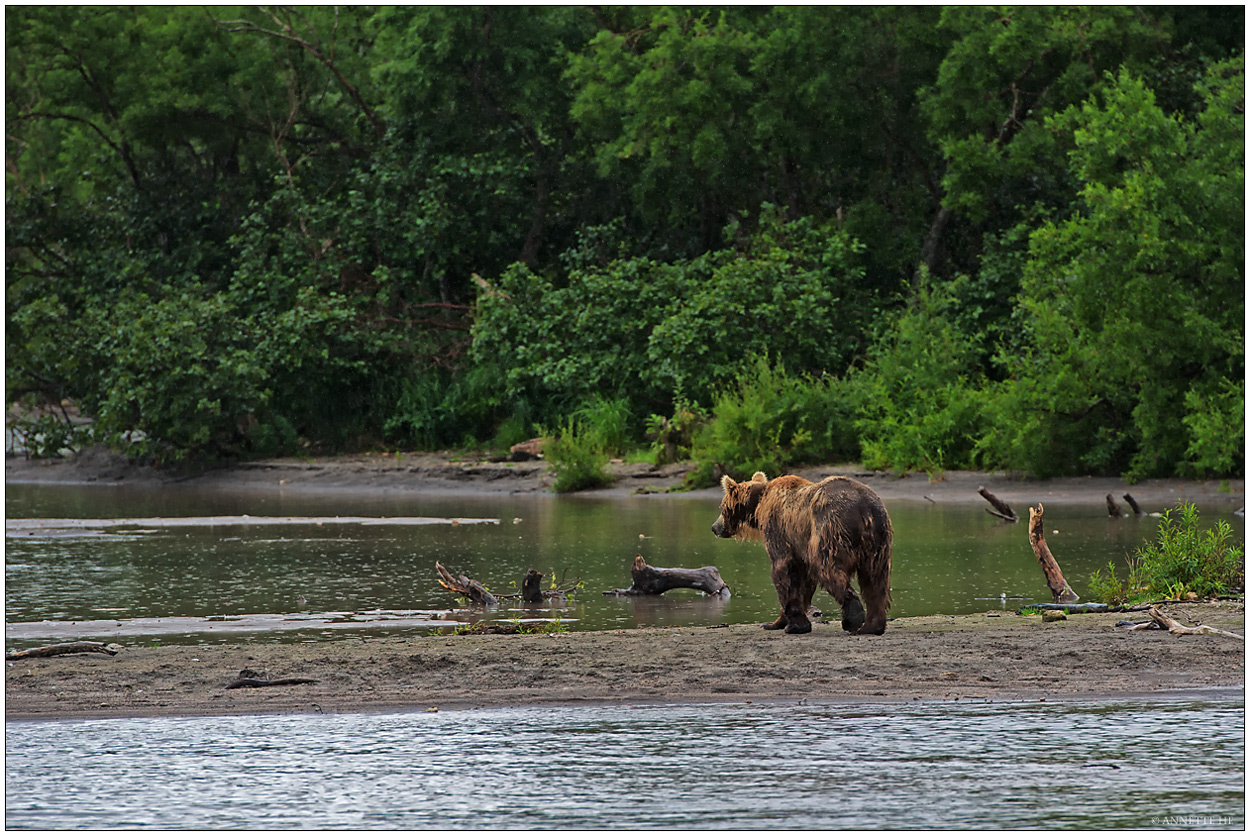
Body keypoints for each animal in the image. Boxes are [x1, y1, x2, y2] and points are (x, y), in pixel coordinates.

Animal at [715, 469, 890, 632]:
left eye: (722, 507)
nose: (714, 527)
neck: (758, 507)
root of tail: (864, 507)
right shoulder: (799, 547)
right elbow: (802, 581)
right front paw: (777, 622)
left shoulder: (778, 528)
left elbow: (783, 571)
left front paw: (792, 625)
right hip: (878, 538)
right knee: (875, 580)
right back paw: (872, 626)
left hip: (830, 527)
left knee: (828, 568)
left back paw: (853, 618)